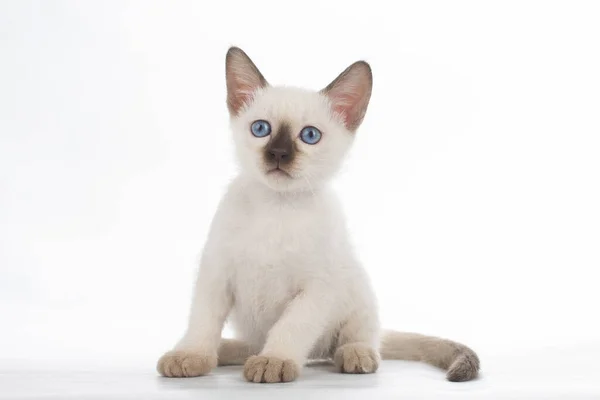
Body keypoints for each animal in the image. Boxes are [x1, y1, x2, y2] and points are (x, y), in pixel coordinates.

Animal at [157, 45, 480, 382]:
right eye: (261, 129)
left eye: (310, 135)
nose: (278, 154)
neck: (277, 207)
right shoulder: (217, 274)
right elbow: (203, 321)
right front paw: (192, 356)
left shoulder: (317, 288)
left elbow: (290, 327)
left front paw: (275, 360)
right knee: (250, 345)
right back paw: (225, 351)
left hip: (357, 291)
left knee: (359, 340)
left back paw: (354, 355)